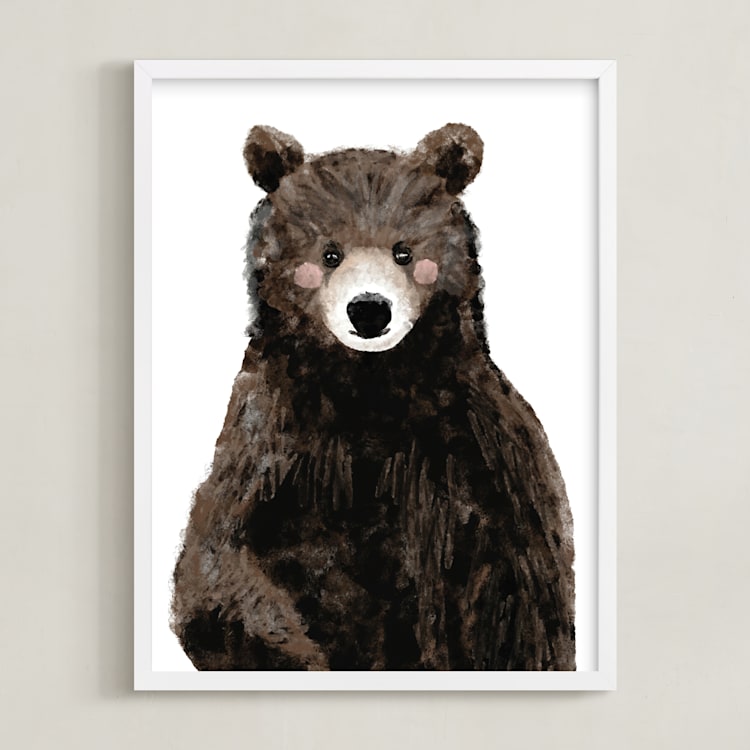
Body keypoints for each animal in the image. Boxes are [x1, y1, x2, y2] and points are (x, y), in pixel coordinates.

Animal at [171, 123, 576, 671]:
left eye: (403, 251)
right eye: (329, 252)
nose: (368, 309)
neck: (370, 388)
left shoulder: (478, 452)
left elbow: (520, 598)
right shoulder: (271, 440)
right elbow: (219, 570)